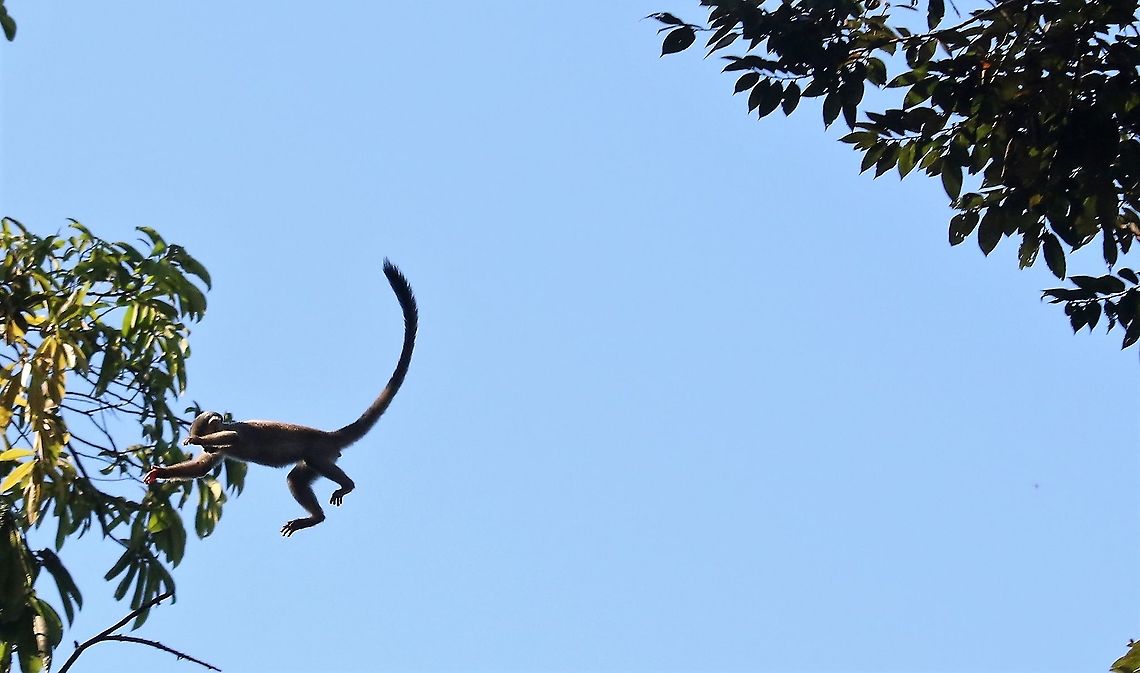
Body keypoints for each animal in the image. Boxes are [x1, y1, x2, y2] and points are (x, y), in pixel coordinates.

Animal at [144, 259, 418, 537]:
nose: (208, 447)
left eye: (206, 442)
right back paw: (316, 517)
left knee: (313, 462)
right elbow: (202, 468)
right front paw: (160, 471)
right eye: (207, 449)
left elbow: (233, 437)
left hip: (321, 451)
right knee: (296, 478)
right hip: (325, 455)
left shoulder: (234, 431)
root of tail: (327, 435)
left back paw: (347, 486)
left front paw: (196, 439)